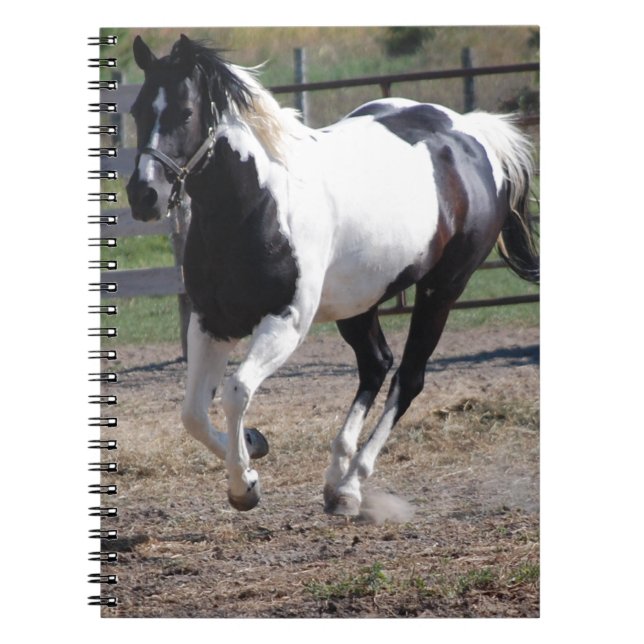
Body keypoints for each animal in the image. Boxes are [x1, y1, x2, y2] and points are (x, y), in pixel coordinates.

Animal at [126, 34, 539, 515]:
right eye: (137, 110)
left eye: (186, 112)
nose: (144, 195)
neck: (256, 205)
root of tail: (471, 134)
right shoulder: (211, 321)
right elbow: (191, 412)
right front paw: (254, 444)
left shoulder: (285, 323)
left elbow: (236, 391)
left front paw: (244, 485)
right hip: (359, 301)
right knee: (376, 364)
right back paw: (336, 474)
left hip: (442, 290)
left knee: (408, 378)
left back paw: (351, 485)